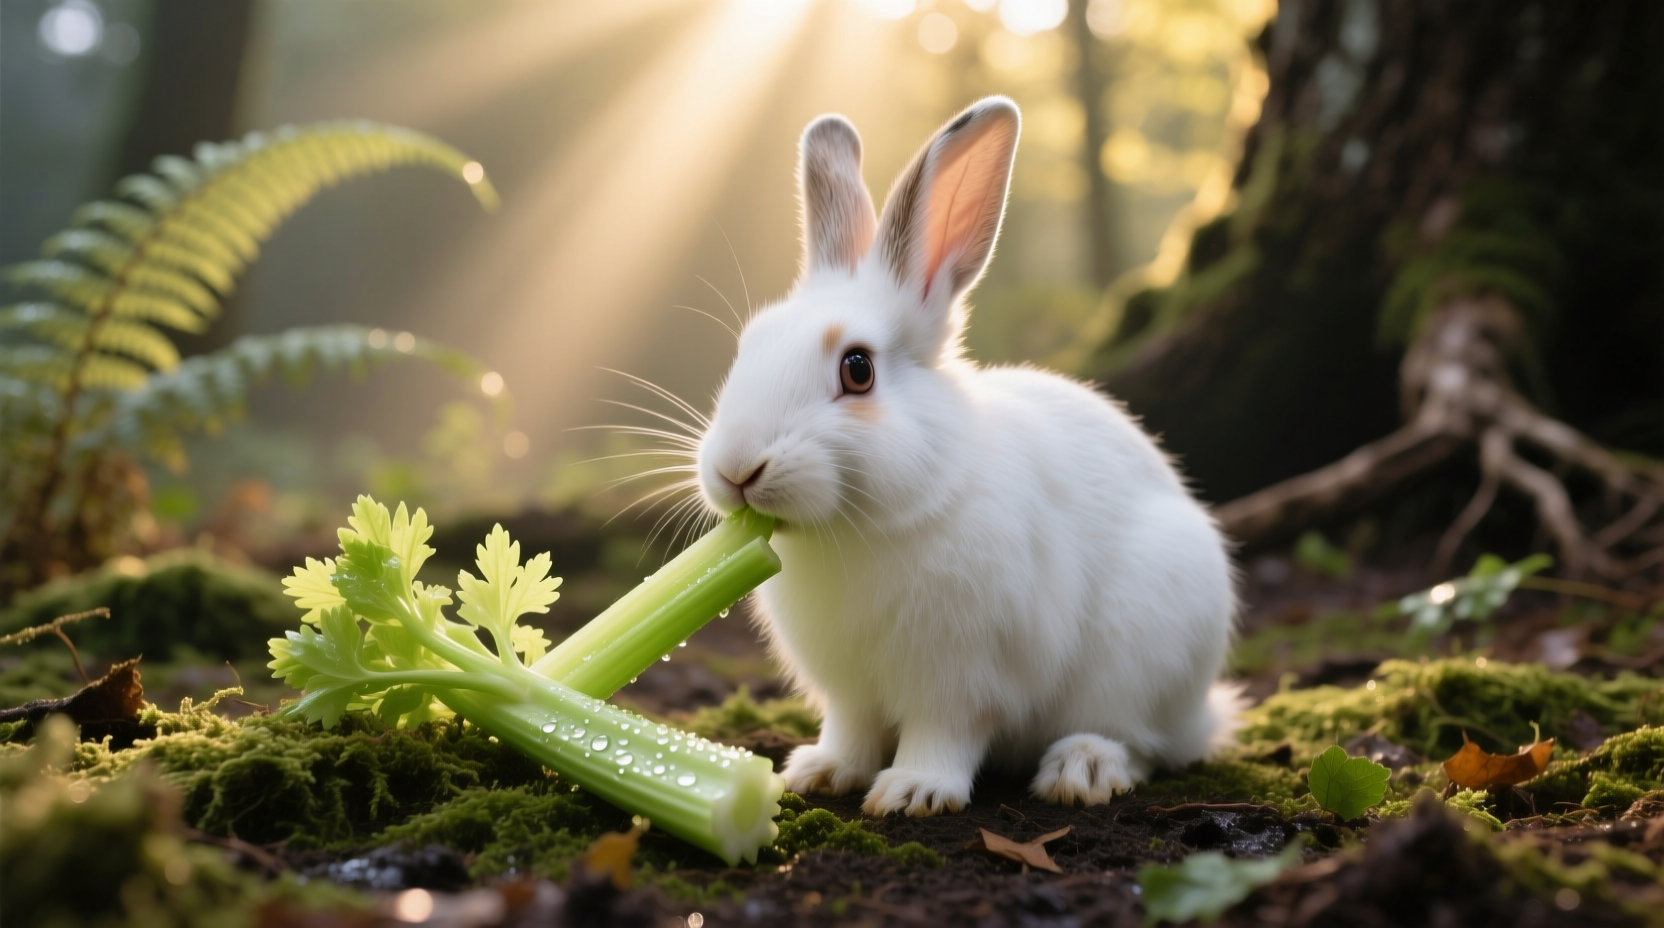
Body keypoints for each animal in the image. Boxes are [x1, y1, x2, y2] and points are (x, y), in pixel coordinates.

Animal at [694, 96, 1240, 817]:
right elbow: (851, 730)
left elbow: (943, 733)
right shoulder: (850, 689)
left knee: (1139, 740)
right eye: (749, 345)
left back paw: (1082, 769)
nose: (736, 469)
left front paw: (912, 792)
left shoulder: (961, 676)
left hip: (1145, 650)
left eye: (858, 369)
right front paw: (819, 772)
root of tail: (1201, 713)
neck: (863, 527)